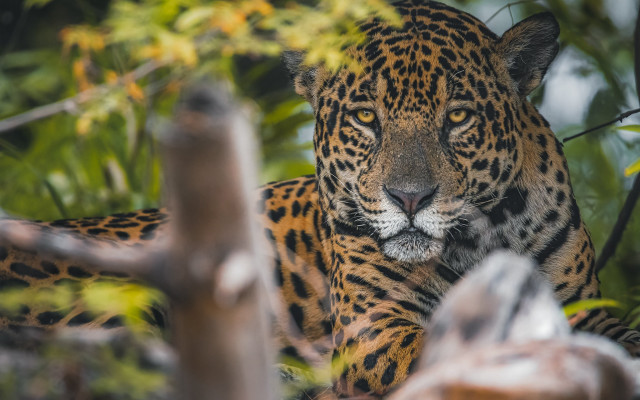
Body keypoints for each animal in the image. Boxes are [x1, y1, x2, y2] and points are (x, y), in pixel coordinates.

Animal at [0, 1, 639, 398]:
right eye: (366, 118)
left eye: (457, 117)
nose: (409, 198)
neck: (478, 242)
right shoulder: (375, 331)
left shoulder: (587, 305)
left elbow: (617, 332)